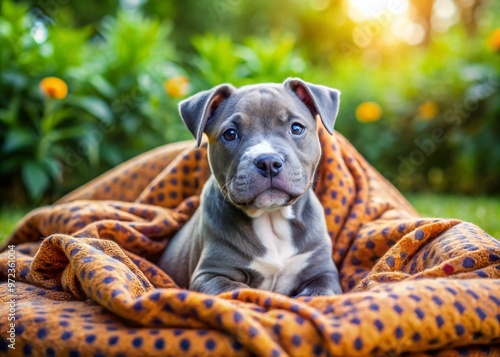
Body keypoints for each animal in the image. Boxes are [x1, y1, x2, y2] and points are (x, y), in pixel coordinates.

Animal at [160, 78, 344, 294]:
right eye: (230, 134)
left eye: (296, 128)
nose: (269, 162)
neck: (271, 217)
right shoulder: (210, 274)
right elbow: (236, 289)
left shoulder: (323, 272)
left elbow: (320, 292)